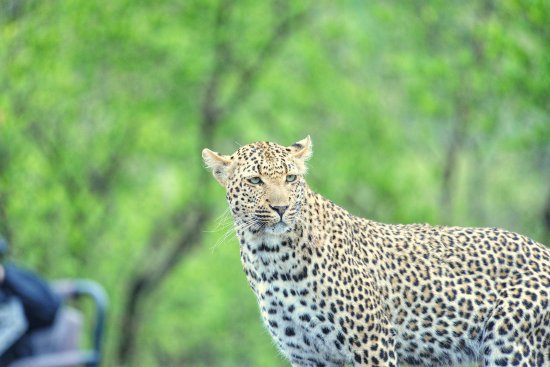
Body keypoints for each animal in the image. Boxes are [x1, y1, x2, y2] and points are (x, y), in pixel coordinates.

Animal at [203, 137, 550, 366]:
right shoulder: (308, 355)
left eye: (291, 178)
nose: (281, 208)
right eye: (255, 180)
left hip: (510, 343)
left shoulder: (372, 343)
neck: (270, 257)